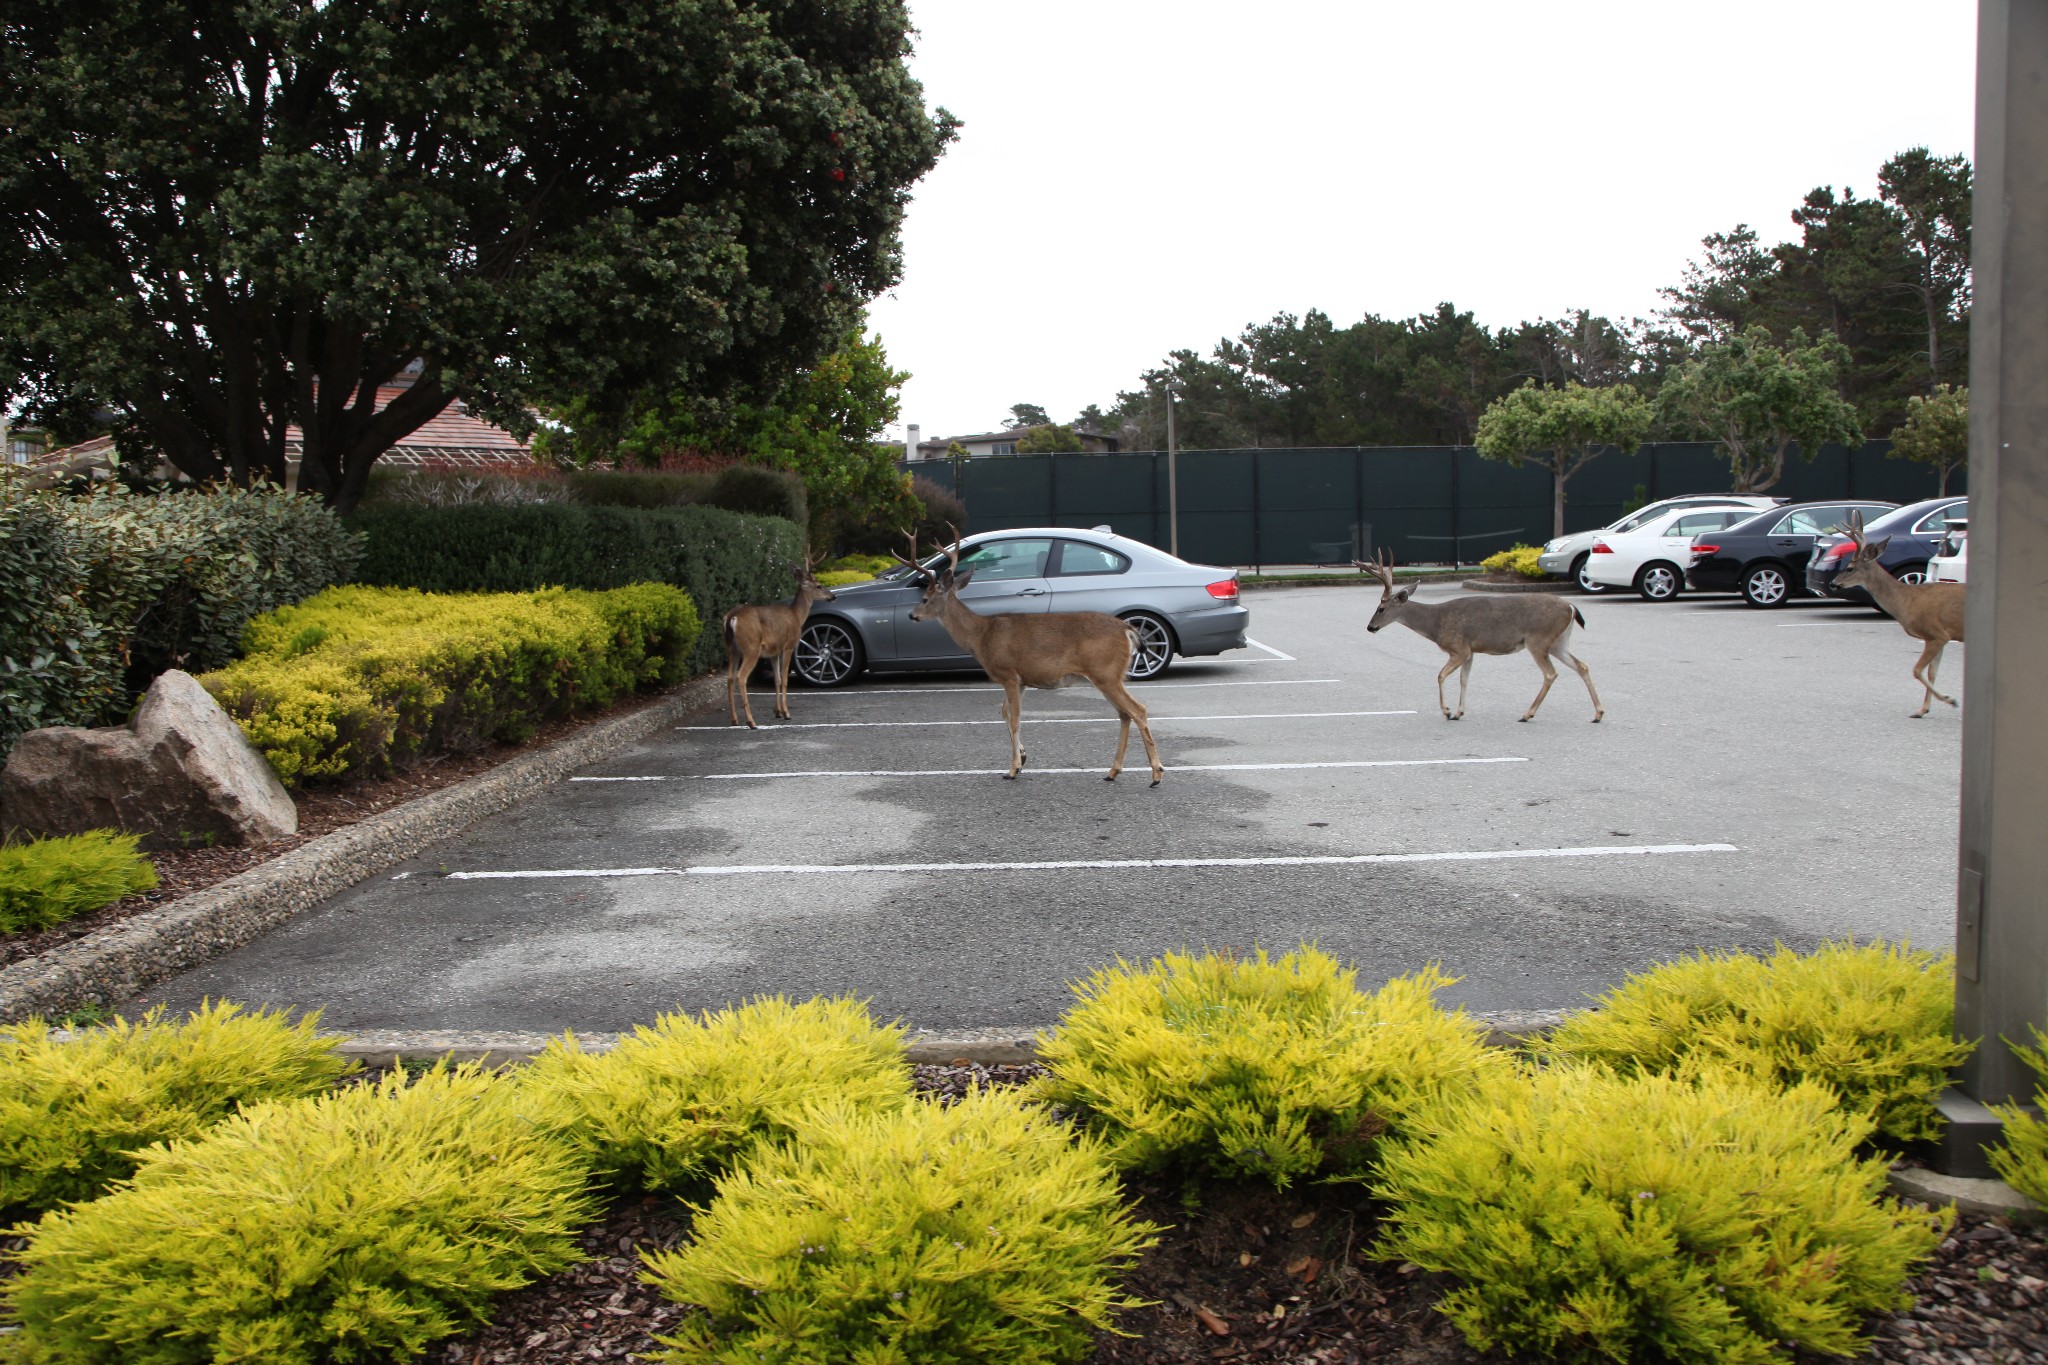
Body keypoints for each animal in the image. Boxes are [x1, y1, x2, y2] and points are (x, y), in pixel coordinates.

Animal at [729, 556, 839, 732]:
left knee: (730, 678)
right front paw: (786, 713)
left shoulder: (774, 651)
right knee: (741, 676)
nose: (833, 596)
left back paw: (734, 720)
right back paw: (751, 722)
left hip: (732, 648)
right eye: (819, 585)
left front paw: (778, 711)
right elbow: (785, 678)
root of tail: (733, 617)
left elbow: (778, 679)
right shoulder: (788, 646)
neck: (797, 616)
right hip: (751, 648)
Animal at [888, 527, 1163, 785]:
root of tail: (1127, 629)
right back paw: (1113, 772)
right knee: (1124, 714)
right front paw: (1022, 758)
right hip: (1107, 676)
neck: (981, 635)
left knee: (1137, 710)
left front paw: (1012, 769)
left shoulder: (1008, 673)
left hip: (1106, 672)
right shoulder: (1020, 680)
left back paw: (1156, 774)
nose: (911, 615)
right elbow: (1004, 713)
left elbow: (1015, 718)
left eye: (925, 599)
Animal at [1351, 556, 1605, 724]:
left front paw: (1447, 711)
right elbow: (1464, 679)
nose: (1370, 627)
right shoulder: (1471, 651)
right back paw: (1598, 713)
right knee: (1582, 665)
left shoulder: (1459, 648)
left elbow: (1440, 675)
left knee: (1551, 673)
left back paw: (1527, 714)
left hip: (1538, 639)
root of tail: (1571, 606)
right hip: (1558, 642)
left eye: (1381, 608)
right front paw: (1459, 712)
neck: (1435, 623)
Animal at [1843, 509, 1966, 720]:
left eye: (1850, 568)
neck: (1906, 601)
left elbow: (1917, 671)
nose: (1834, 583)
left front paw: (1950, 700)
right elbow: (1932, 672)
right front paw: (1922, 709)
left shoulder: (1936, 633)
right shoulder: (1941, 637)